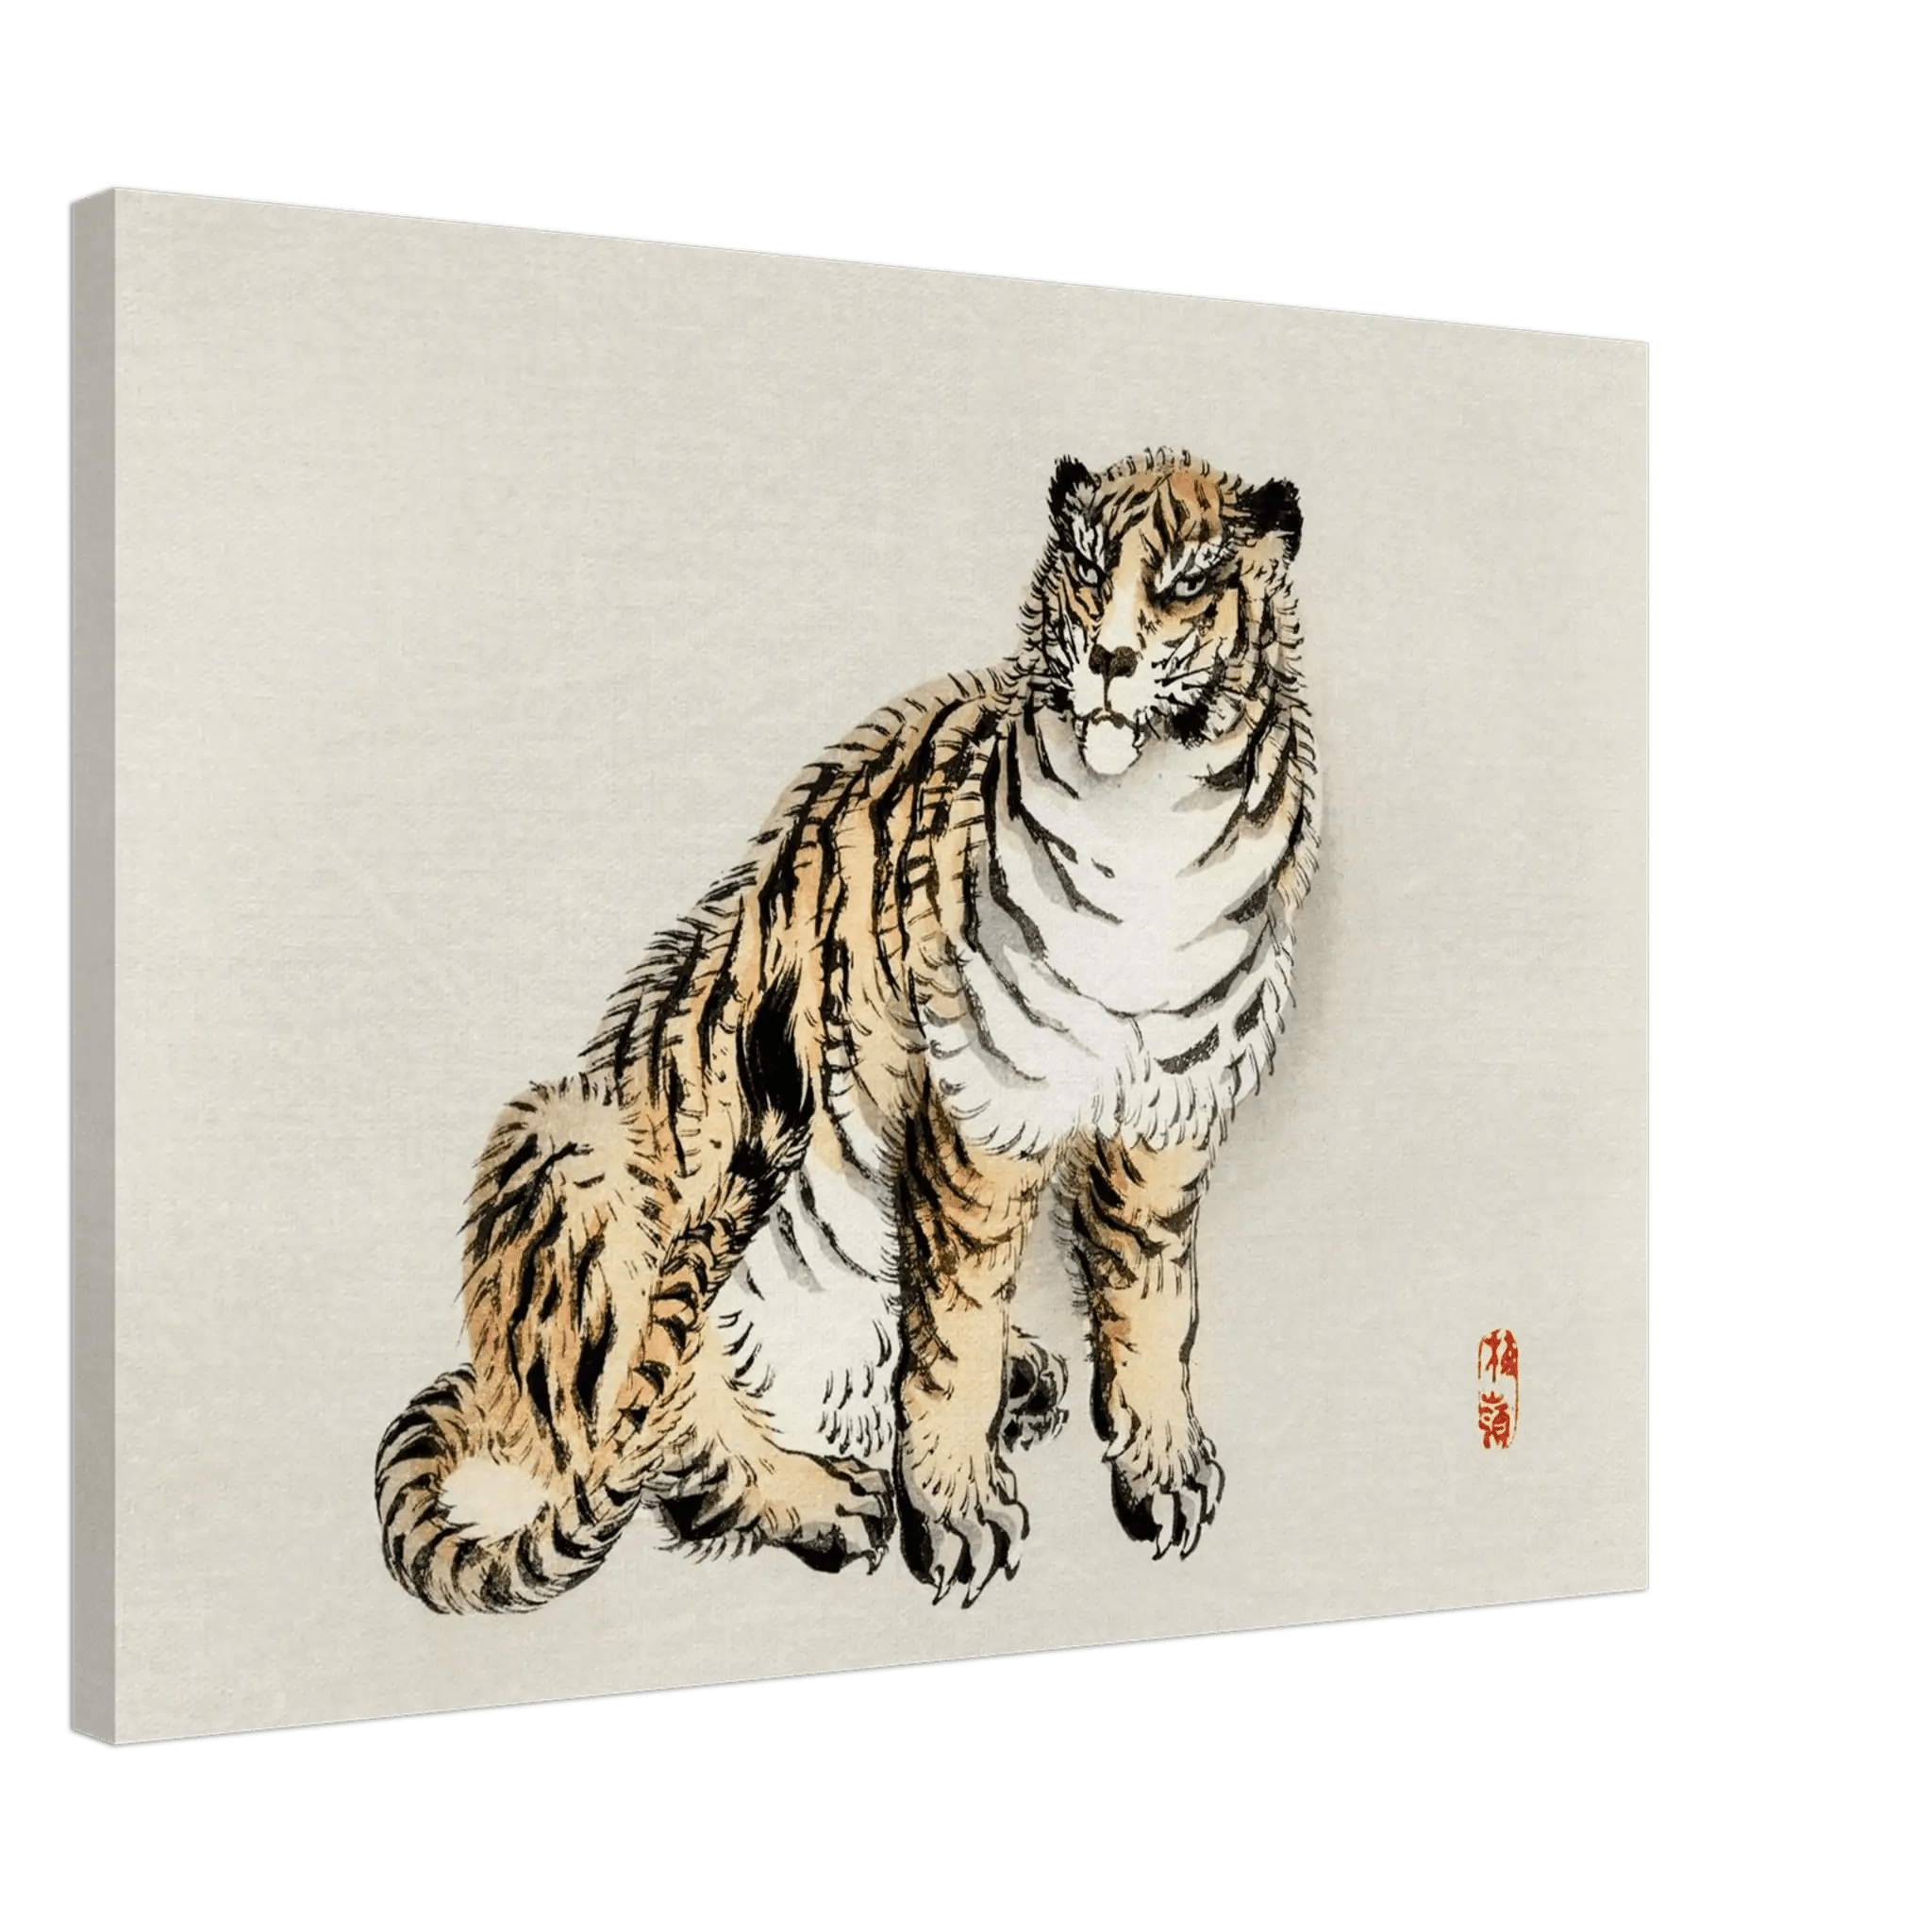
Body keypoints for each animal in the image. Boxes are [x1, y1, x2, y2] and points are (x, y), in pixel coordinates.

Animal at [375, 448, 1321, 1612]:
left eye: (1187, 582)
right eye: (1091, 571)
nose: (1110, 658)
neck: (1152, 826)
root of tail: (493, 1389)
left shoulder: (1165, 1120)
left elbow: (1153, 1302)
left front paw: (1164, 1469)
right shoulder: (979, 1117)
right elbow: (953, 1333)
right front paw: (956, 1513)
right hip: (567, 1138)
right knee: (655, 1440)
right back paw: (828, 1498)